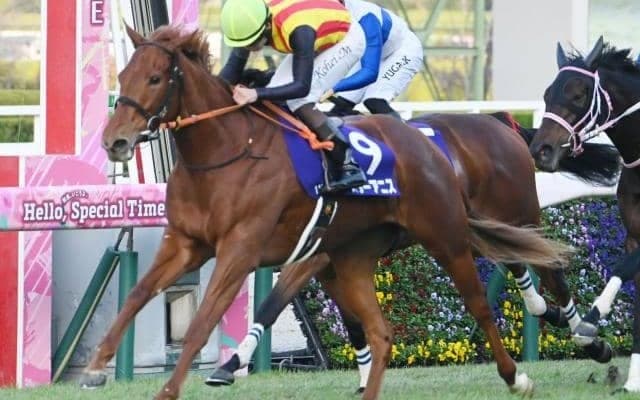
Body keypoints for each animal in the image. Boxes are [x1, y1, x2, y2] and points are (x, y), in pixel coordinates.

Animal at [83, 24, 575, 399]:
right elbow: (137, 295)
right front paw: (95, 366)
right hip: (355, 257)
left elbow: (207, 320)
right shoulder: (187, 243)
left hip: (450, 236)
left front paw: (182, 384)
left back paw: (524, 370)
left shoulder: (243, 250)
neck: (226, 150)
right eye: (123, 73)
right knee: (382, 332)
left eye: (154, 79)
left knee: (487, 301)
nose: (114, 141)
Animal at [529, 37, 640, 391]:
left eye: (577, 95)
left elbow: (622, 269)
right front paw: (632, 381)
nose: (541, 150)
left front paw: (589, 323)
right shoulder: (633, 234)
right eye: (547, 94)